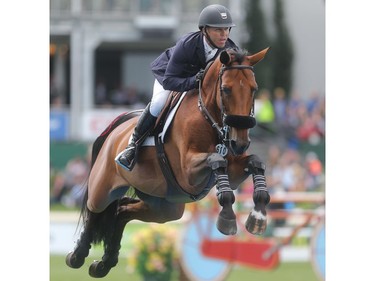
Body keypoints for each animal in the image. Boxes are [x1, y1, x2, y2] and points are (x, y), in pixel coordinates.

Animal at [64, 46, 270, 276]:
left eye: (254, 89)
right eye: (226, 89)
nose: (239, 143)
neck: (208, 117)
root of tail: (118, 125)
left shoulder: (232, 171)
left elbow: (255, 162)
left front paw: (258, 216)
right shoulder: (188, 172)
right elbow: (217, 160)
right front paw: (227, 217)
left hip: (164, 206)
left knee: (122, 210)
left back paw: (105, 262)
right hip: (104, 185)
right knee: (95, 209)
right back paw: (77, 255)